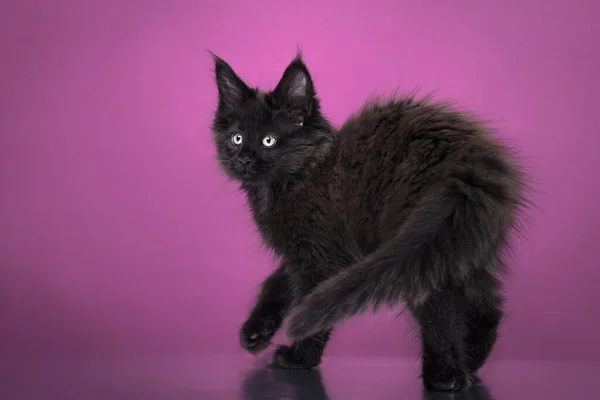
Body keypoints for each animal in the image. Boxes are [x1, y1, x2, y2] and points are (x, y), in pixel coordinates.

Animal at [210, 51, 524, 392]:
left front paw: (299, 357)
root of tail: (469, 162)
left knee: (439, 305)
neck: (299, 175)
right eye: (236, 138)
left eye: (269, 141)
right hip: (460, 241)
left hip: (422, 243)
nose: (243, 159)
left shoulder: (319, 255)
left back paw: (446, 376)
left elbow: (307, 297)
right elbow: (279, 281)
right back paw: (473, 357)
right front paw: (257, 330)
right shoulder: (315, 251)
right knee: (486, 301)